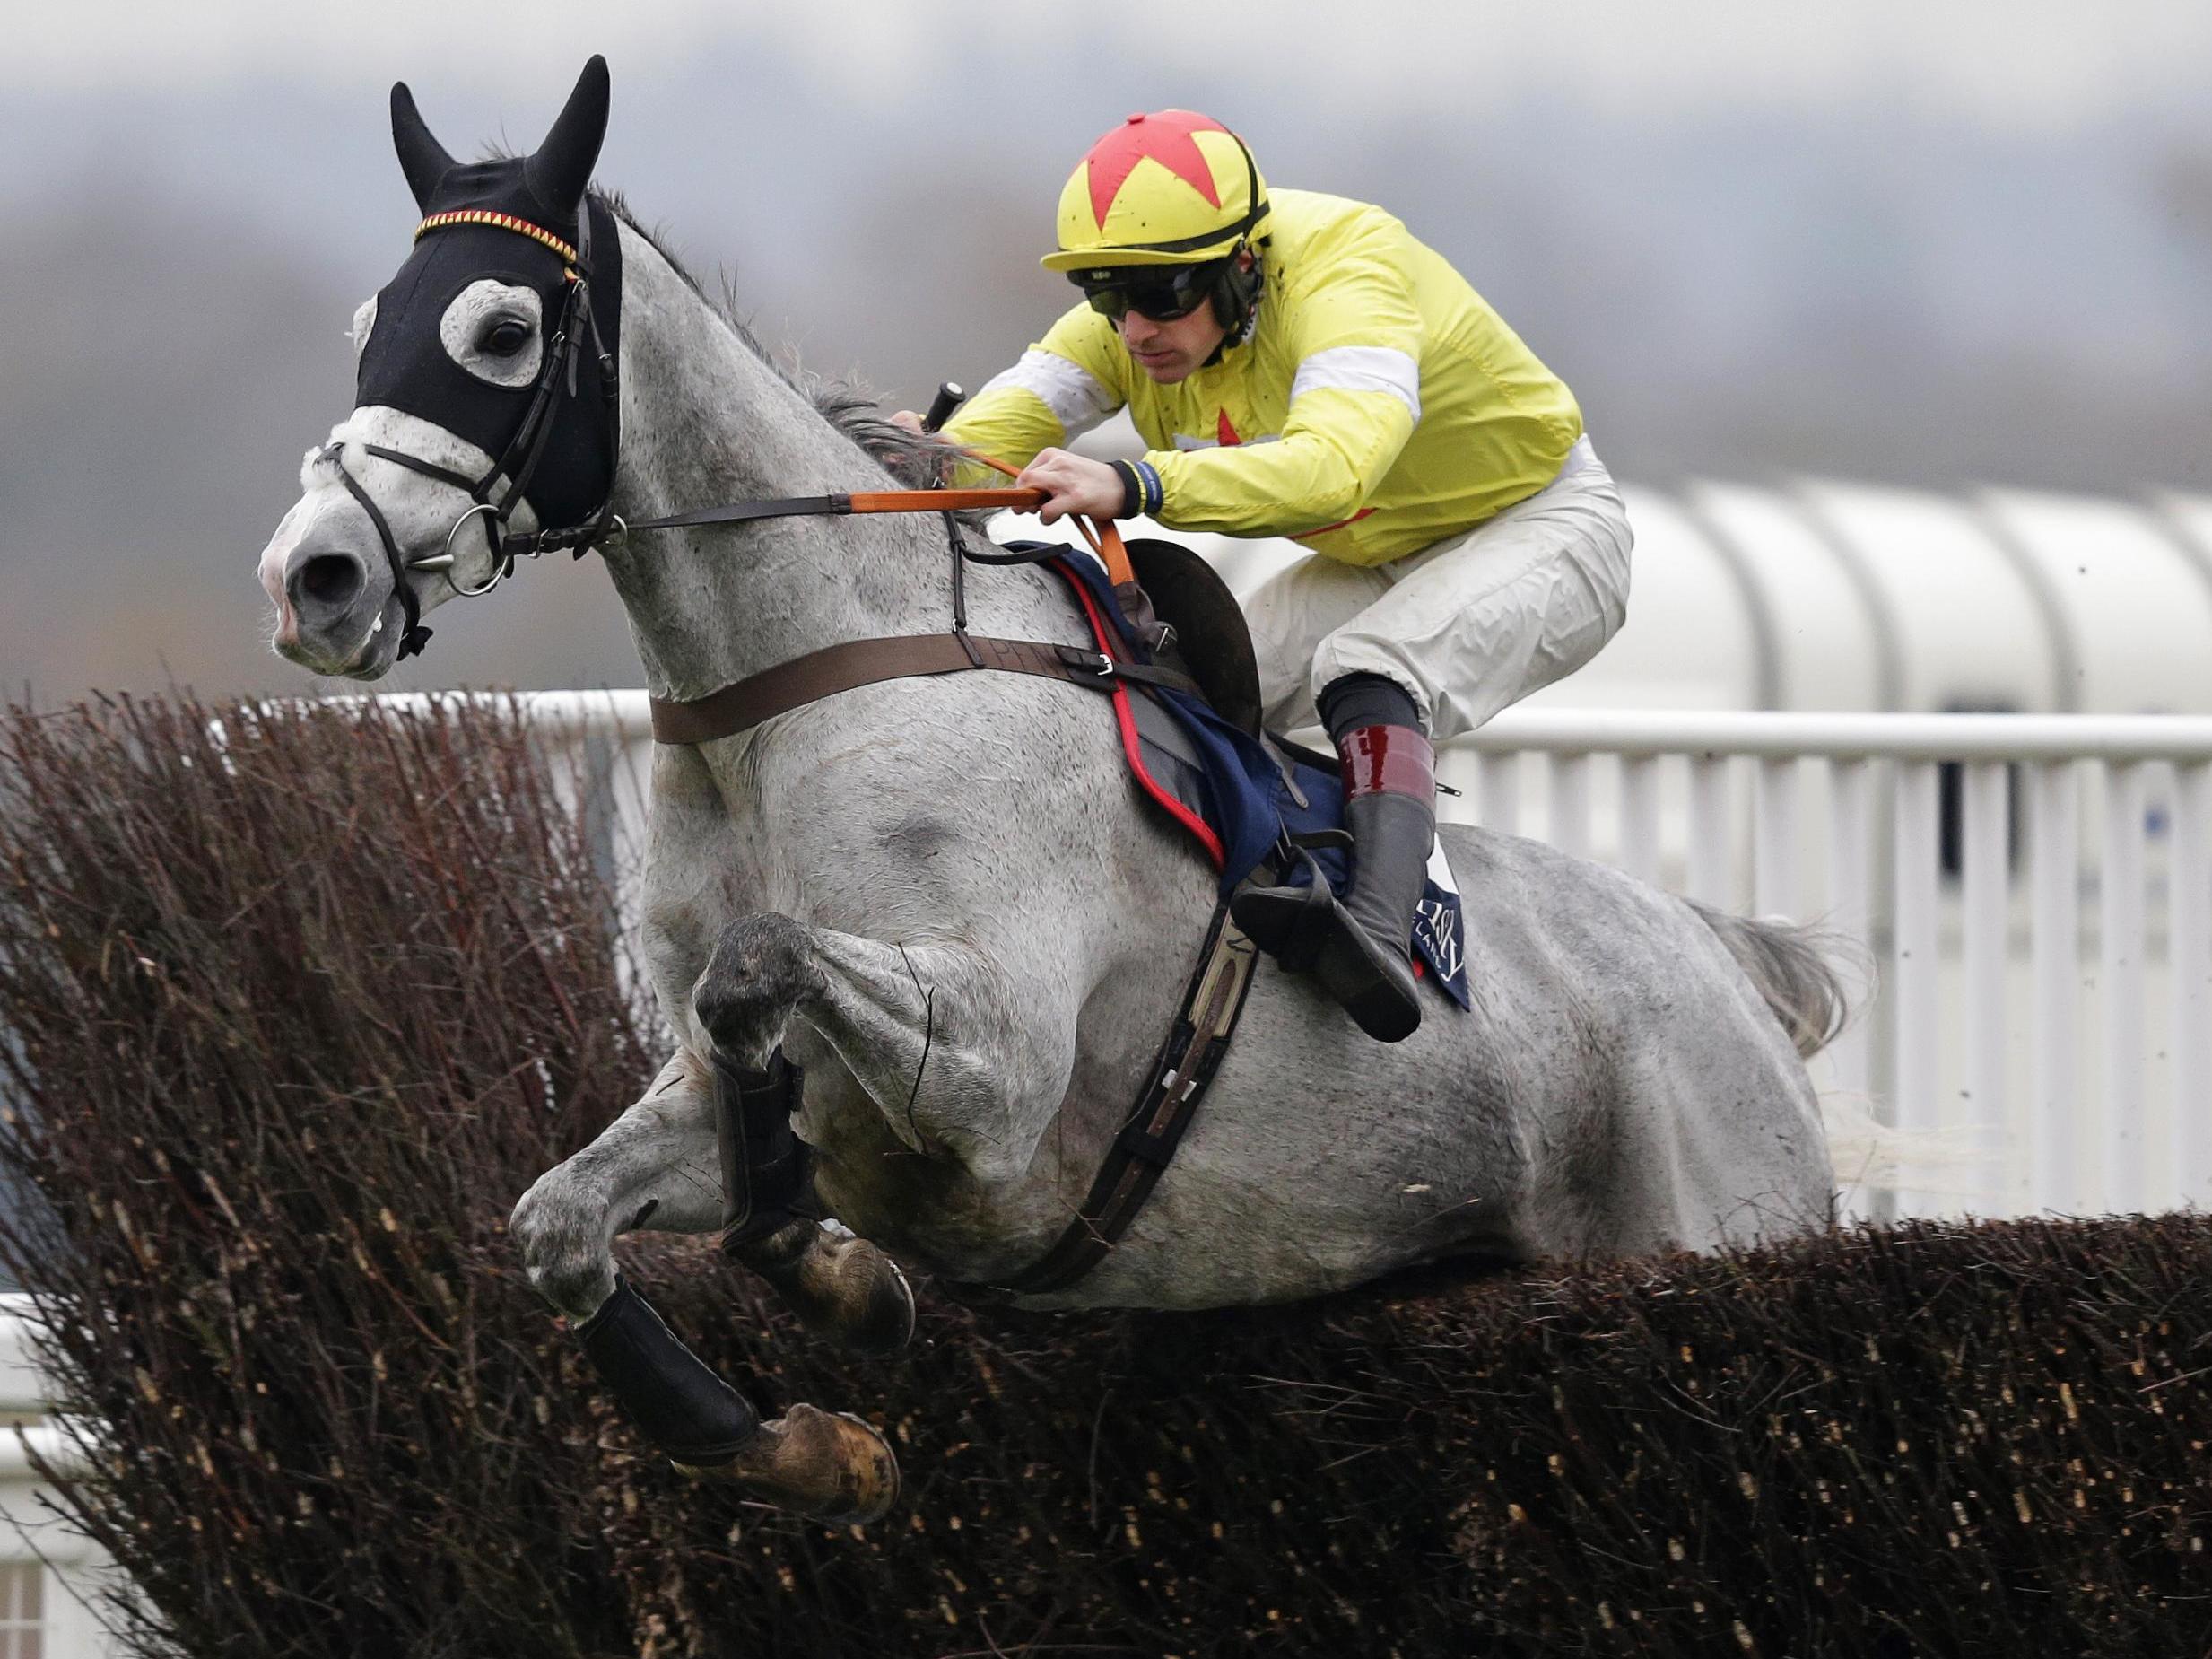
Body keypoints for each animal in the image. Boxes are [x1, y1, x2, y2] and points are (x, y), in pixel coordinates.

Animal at [254, 58, 1849, 1531]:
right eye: (365, 329)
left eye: (500, 330)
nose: (312, 577)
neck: (804, 693)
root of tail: (1730, 965)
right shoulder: (731, 1094)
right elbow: (563, 1221)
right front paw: (804, 1436)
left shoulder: (995, 1078)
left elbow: (759, 970)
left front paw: (837, 1283)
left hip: (1705, 1213)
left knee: (1378, 676)